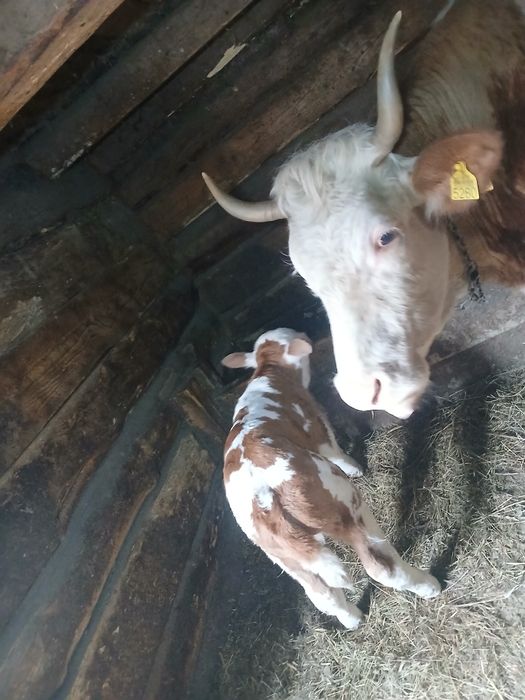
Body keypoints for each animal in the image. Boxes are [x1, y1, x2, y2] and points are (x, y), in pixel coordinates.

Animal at [222, 328, 441, 629]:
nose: (305, 333)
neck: (269, 371)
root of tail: (263, 496)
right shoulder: (318, 428)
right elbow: (336, 451)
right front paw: (356, 467)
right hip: (345, 503)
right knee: (380, 566)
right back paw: (429, 585)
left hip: (283, 554)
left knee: (320, 593)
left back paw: (353, 620)